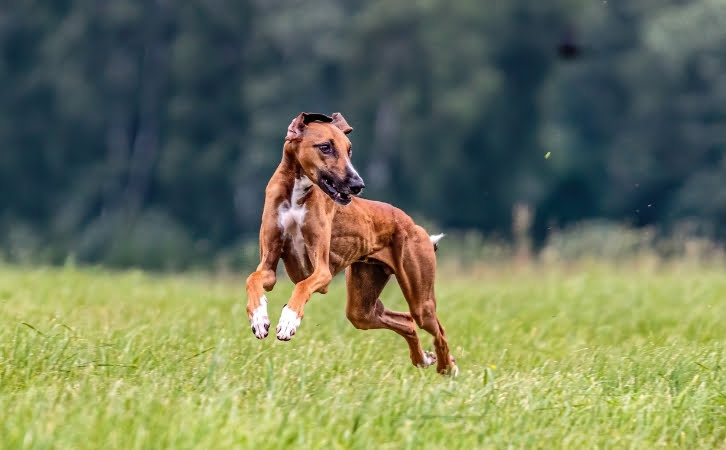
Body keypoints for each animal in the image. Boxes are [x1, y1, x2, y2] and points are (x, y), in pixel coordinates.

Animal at [247, 110, 458, 374]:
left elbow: (302, 286)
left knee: (437, 329)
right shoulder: (268, 267)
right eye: (325, 147)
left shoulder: (321, 271)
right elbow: (253, 279)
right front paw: (259, 318)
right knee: (406, 322)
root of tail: (413, 225)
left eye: (349, 150)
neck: (296, 194)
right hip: (362, 309)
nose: (358, 185)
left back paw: (447, 366)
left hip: (421, 300)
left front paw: (288, 321)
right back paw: (423, 358)